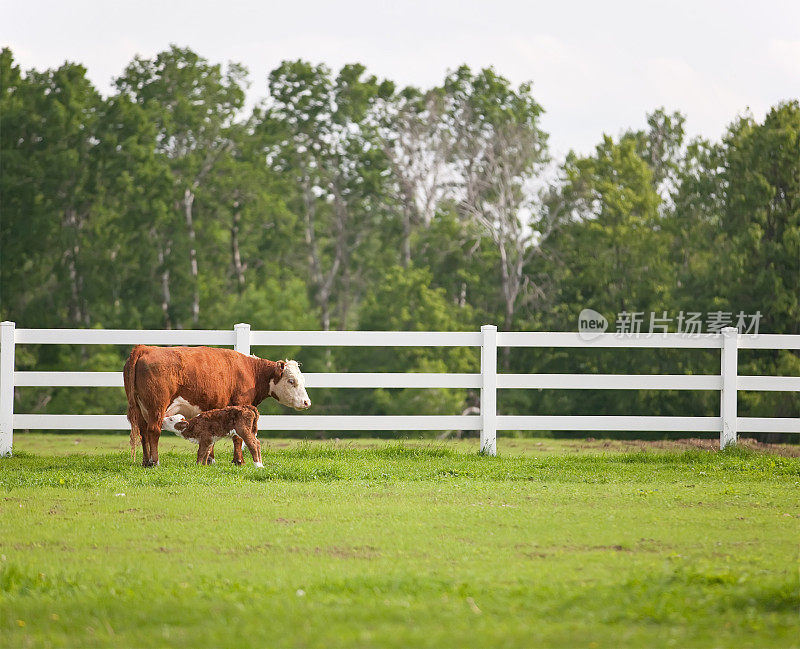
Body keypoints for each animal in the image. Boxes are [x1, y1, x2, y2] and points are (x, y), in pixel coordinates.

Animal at [125, 344, 310, 466]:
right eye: (291, 380)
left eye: (302, 379)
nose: (306, 402)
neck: (250, 370)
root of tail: (145, 348)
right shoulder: (239, 405)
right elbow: (238, 437)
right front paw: (238, 460)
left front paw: (210, 459)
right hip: (157, 406)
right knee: (153, 431)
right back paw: (155, 461)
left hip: (141, 409)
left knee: (143, 432)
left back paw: (146, 461)